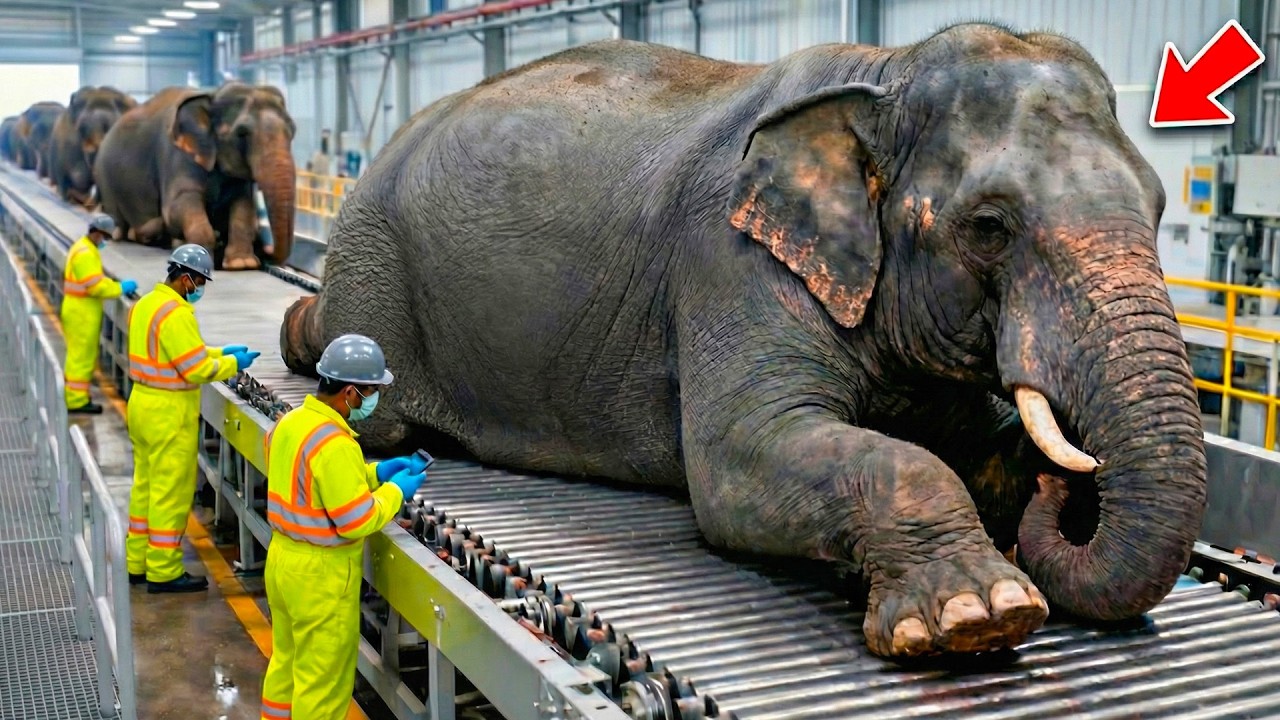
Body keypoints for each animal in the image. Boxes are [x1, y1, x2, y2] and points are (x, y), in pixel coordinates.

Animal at [94, 82, 297, 270]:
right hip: (105, 178)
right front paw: (201, 257)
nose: (268, 252)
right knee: (119, 222)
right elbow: (178, 206)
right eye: (242, 132)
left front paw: (241, 263)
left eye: (293, 130)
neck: (212, 95)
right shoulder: (176, 155)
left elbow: (243, 205)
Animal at [280, 23, 1208, 660]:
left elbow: (973, 446)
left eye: (1163, 206)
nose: (1070, 491)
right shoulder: (728, 261)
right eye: (988, 227)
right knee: (379, 418)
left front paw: (1040, 481)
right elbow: (736, 463)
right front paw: (977, 616)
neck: (885, 70)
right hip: (373, 261)